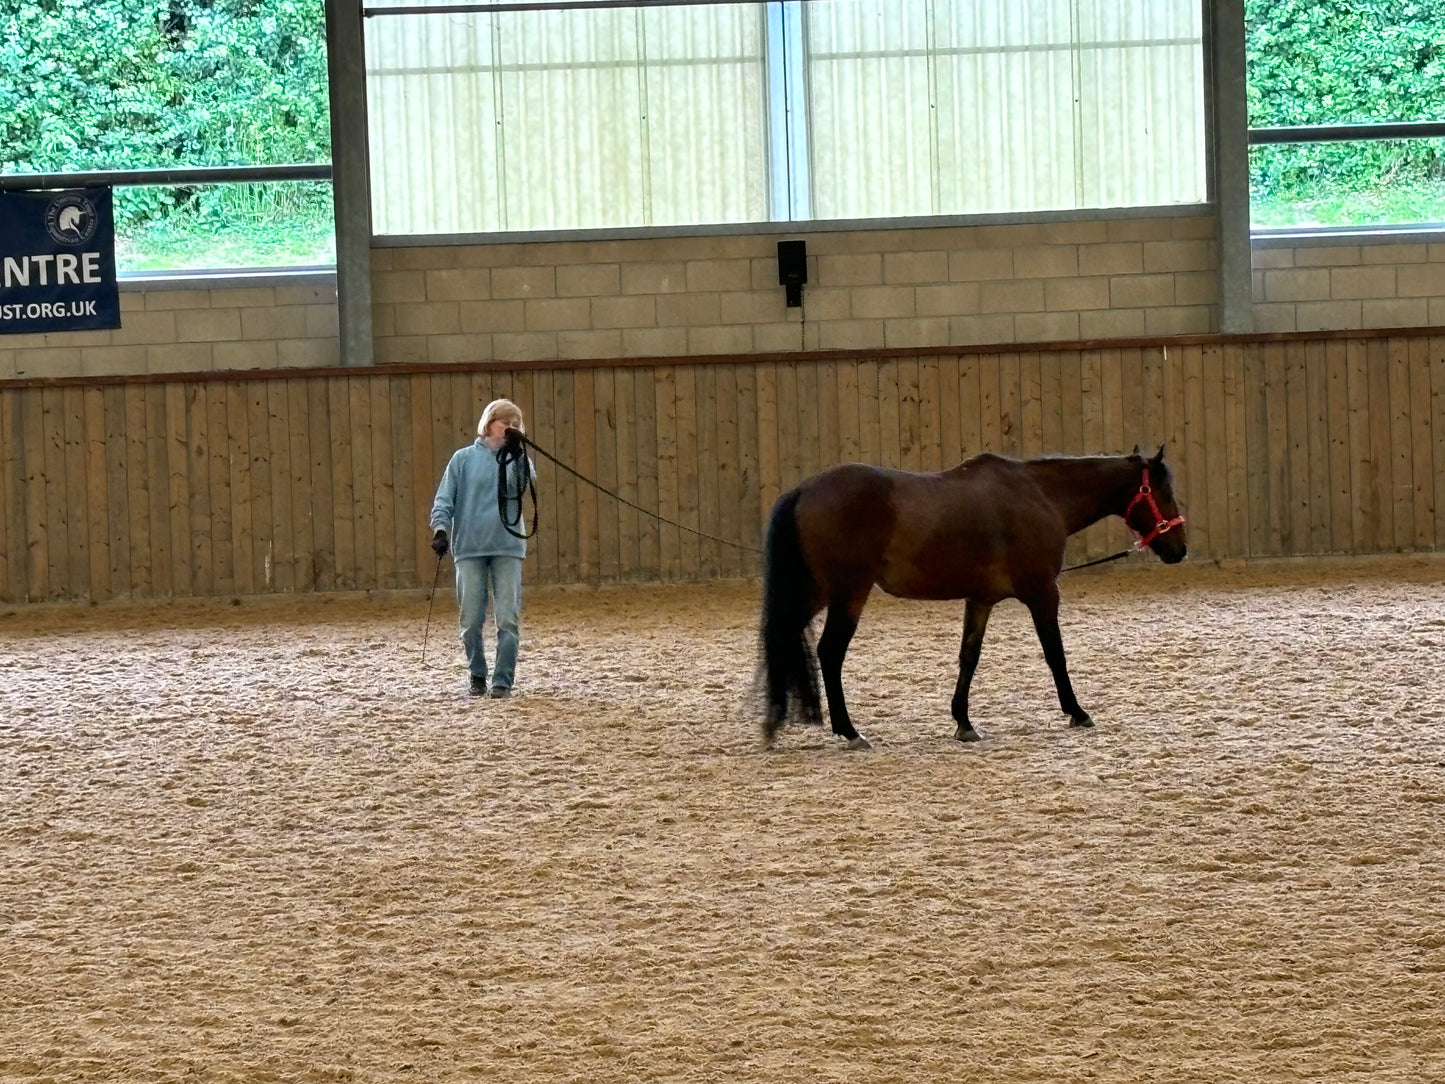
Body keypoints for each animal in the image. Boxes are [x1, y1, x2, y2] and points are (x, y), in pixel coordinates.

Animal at [758, 445, 1187, 749]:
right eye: (1163, 491)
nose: (1179, 549)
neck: (1041, 495)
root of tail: (802, 490)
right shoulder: (1043, 592)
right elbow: (1055, 654)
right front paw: (1077, 712)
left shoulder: (981, 599)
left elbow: (969, 657)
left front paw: (963, 722)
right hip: (847, 593)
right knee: (828, 652)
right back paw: (848, 731)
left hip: (819, 592)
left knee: (780, 639)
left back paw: (774, 722)